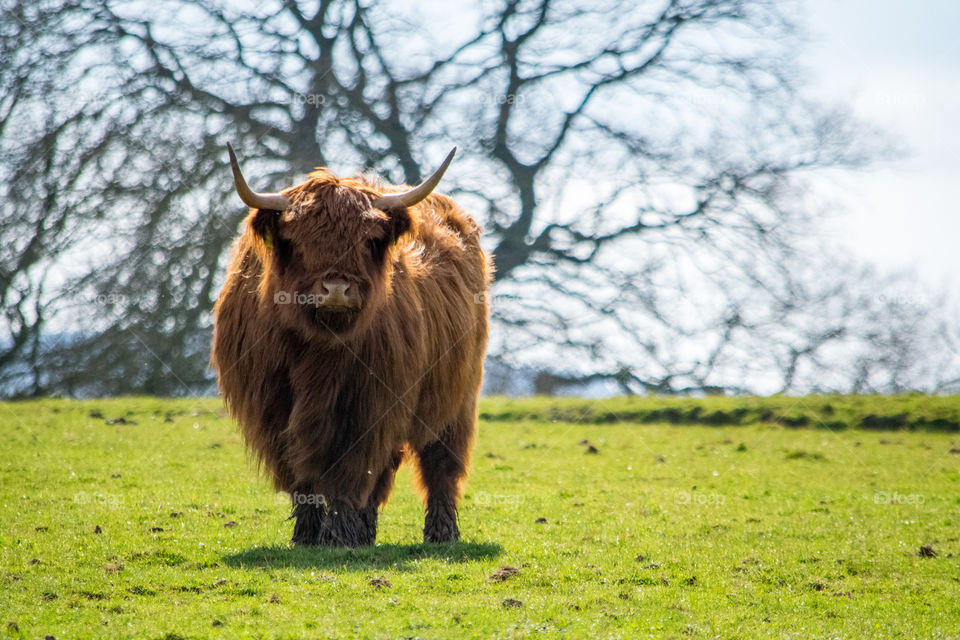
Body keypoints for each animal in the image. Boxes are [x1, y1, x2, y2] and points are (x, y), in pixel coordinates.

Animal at [211, 144, 491, 547]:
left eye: (368, 240)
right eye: (296, 240)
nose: (336, 290)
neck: (317, 351)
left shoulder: (367, 406)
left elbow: (350, 471)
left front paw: (338, 536)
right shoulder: (274, 408)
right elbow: (301, 472)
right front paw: (307, 535)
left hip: (457, 397)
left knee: (440, 465)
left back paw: (441, 533)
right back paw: (366, 531)